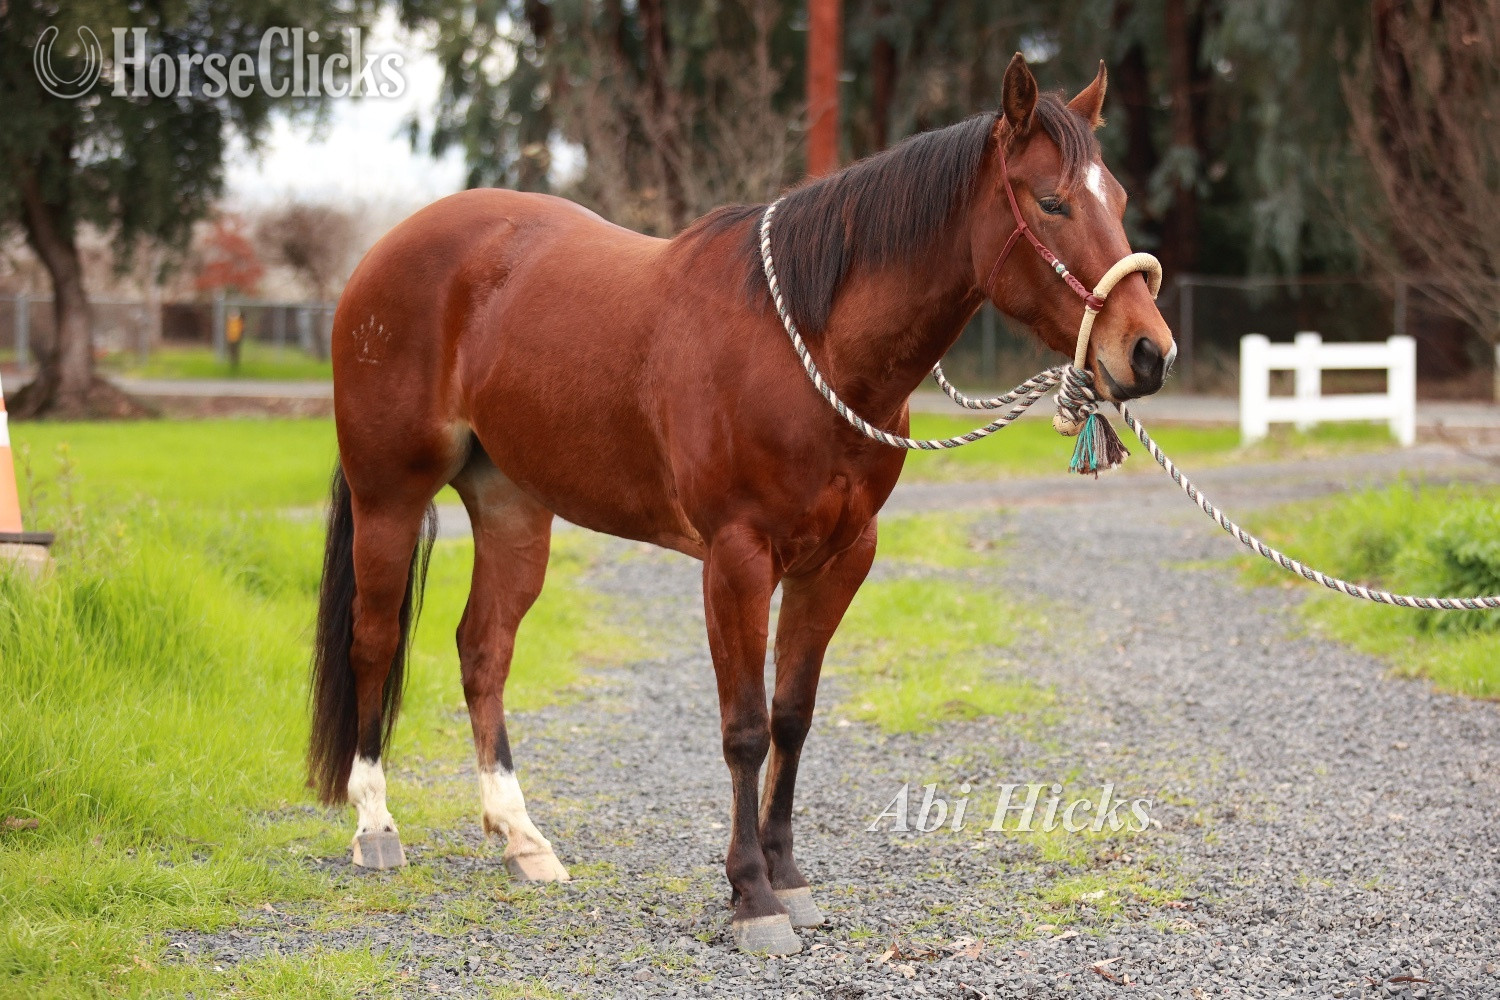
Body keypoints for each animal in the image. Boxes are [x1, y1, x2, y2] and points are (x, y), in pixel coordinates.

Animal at [308, 52, 1175, 955]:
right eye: (1051, 201)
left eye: (1116, 199)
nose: (1149, 352)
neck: (809, 350)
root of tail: (385, 252)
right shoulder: (736, 558)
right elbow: (745, 727)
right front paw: (751, 896)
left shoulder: (839, 559)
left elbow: (792, 715)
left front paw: (788, 877)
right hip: (389, 495)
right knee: (374, 640)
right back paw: (376, 829)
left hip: (513, 508)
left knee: (484, 649)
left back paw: (521, 838)